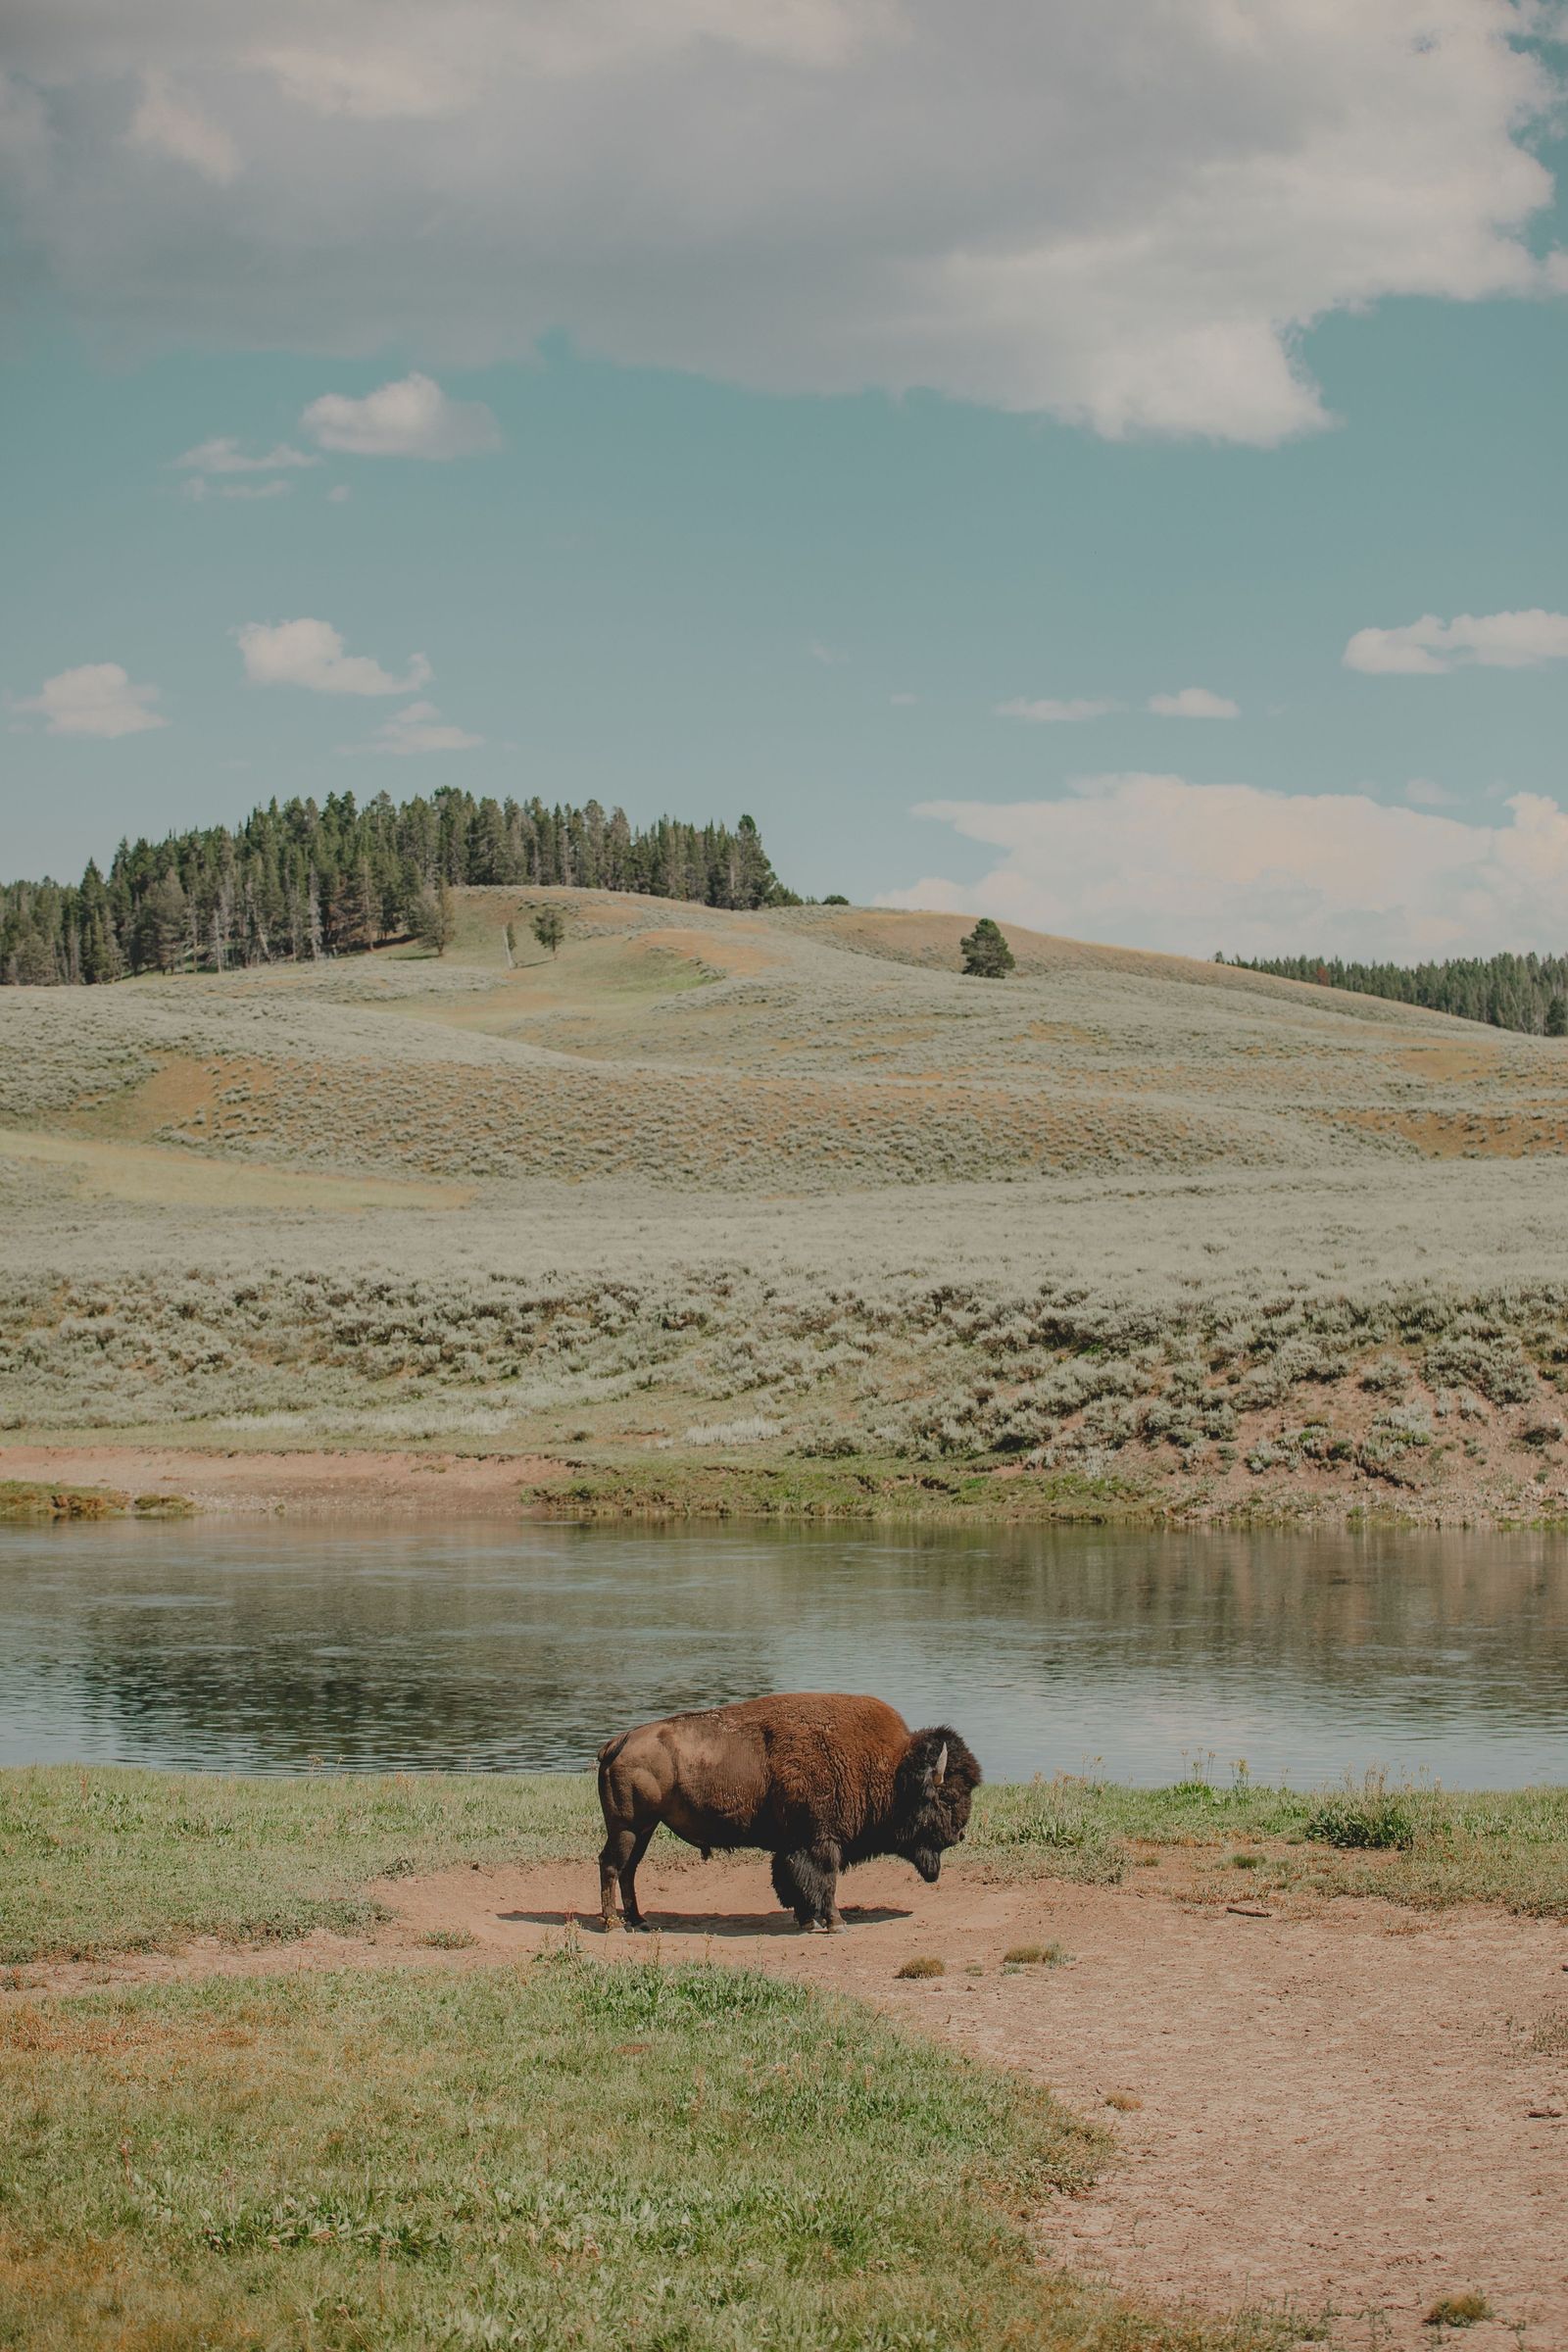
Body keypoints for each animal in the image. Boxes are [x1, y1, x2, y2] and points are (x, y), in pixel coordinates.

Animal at [595, 1691, 981, 1932]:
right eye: (947, 1798)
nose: (960, 1833)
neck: (892, 1769)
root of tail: (618, 1742)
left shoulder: (793, 1846)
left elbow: (793, 1881)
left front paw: (807, 1920)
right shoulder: (822, 1842)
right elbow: (824, 1882)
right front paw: (836, 1923)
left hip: (645, 1829)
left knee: (629, 1870)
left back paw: (639, 1921)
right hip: (627, 1827)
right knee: (612, 1866)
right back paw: (614, 1925)